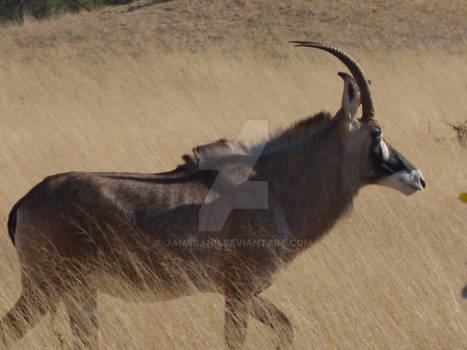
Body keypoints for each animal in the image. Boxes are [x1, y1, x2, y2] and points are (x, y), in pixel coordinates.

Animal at [0, 42, 426, 348]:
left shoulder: (248, 291)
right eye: (377, 133)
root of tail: (26, 201)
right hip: (46, 287)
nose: (417, 178)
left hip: (78, 291)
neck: (274, 184)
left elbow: (285, 327)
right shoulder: (238, 289)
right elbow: (236, 341)